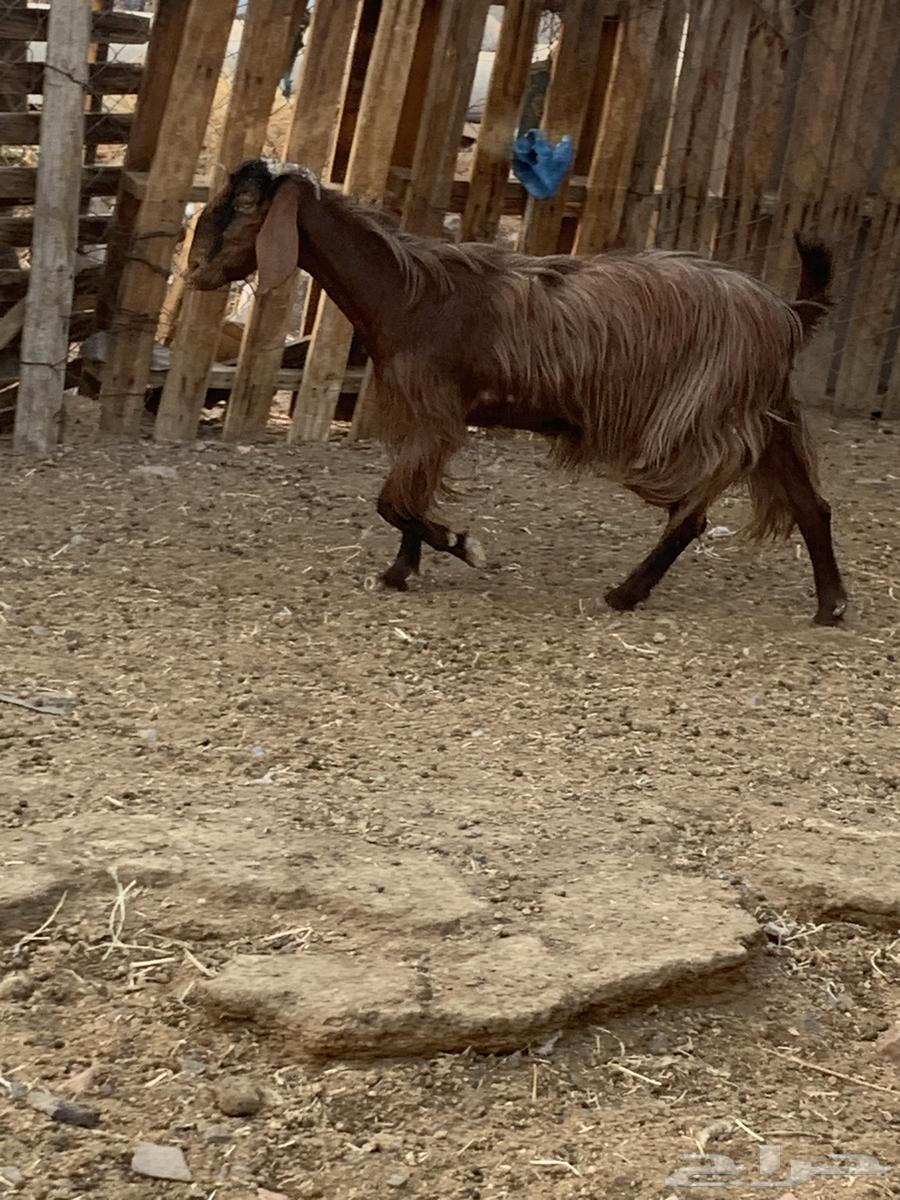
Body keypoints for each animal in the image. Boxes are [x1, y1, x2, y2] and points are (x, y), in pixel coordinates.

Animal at [187, 159, 847, 626]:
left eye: (244, 203)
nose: (194, 272)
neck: (408, 292)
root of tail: (784, 312)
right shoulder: (417, 415)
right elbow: (404, 499)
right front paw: (401, 572)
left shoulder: (437, 412)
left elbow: (394, 502)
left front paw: (463, 545)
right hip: (769, 411)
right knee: (811, 504)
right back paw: (830, 606)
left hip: (693, 418)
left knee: (693, 515)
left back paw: (625, 593)